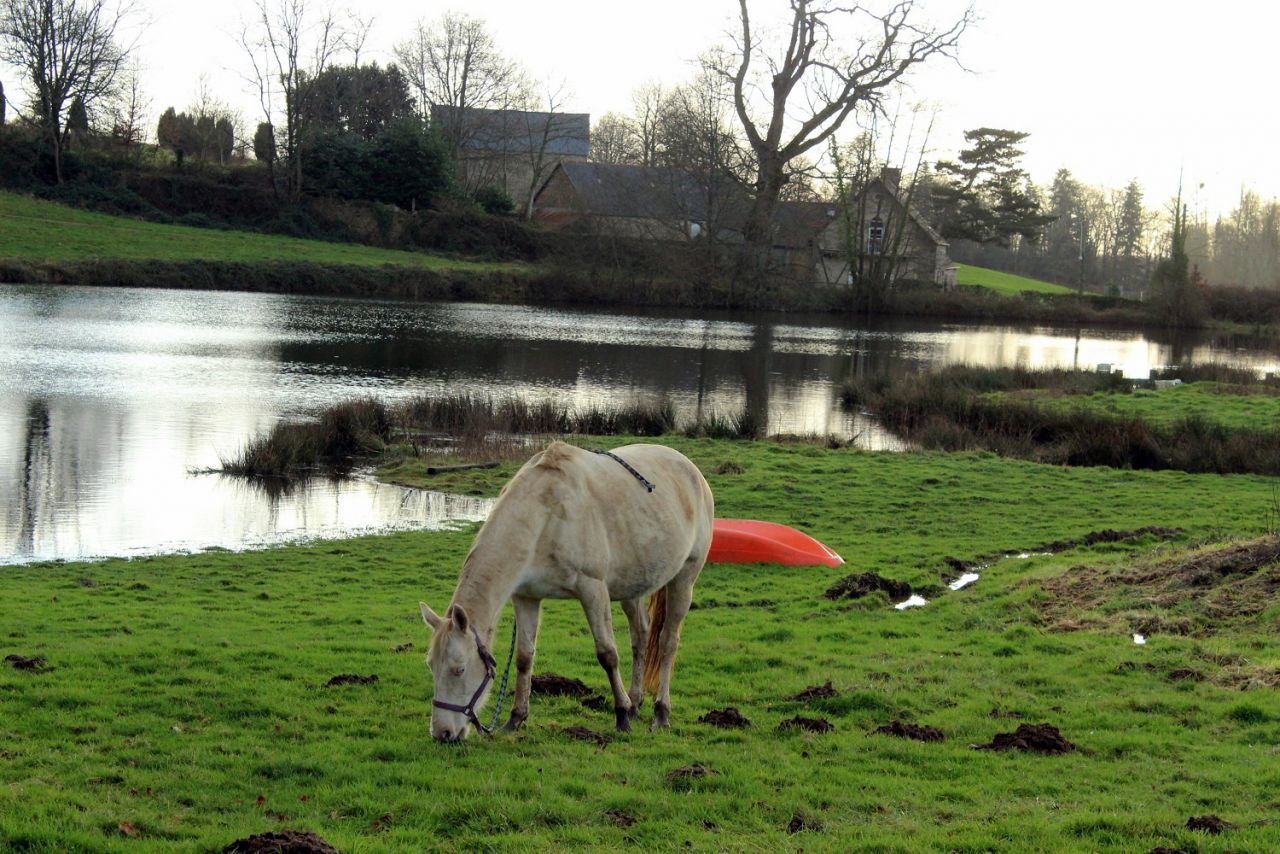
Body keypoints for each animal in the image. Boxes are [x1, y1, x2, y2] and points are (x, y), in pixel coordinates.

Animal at [418, 441, 714, 742]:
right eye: (431, 665)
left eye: (459, 669)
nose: (442, 733)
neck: (545, 516)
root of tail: (691, 470)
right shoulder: (526, 597)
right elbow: (524, 657)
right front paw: (515, 718)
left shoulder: (593, 590)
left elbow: (607, 654)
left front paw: (620, 716)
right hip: (633, 587)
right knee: (640, 637)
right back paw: (635, 702)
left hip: (684, 579)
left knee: (668, 642)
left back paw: (660, 711)